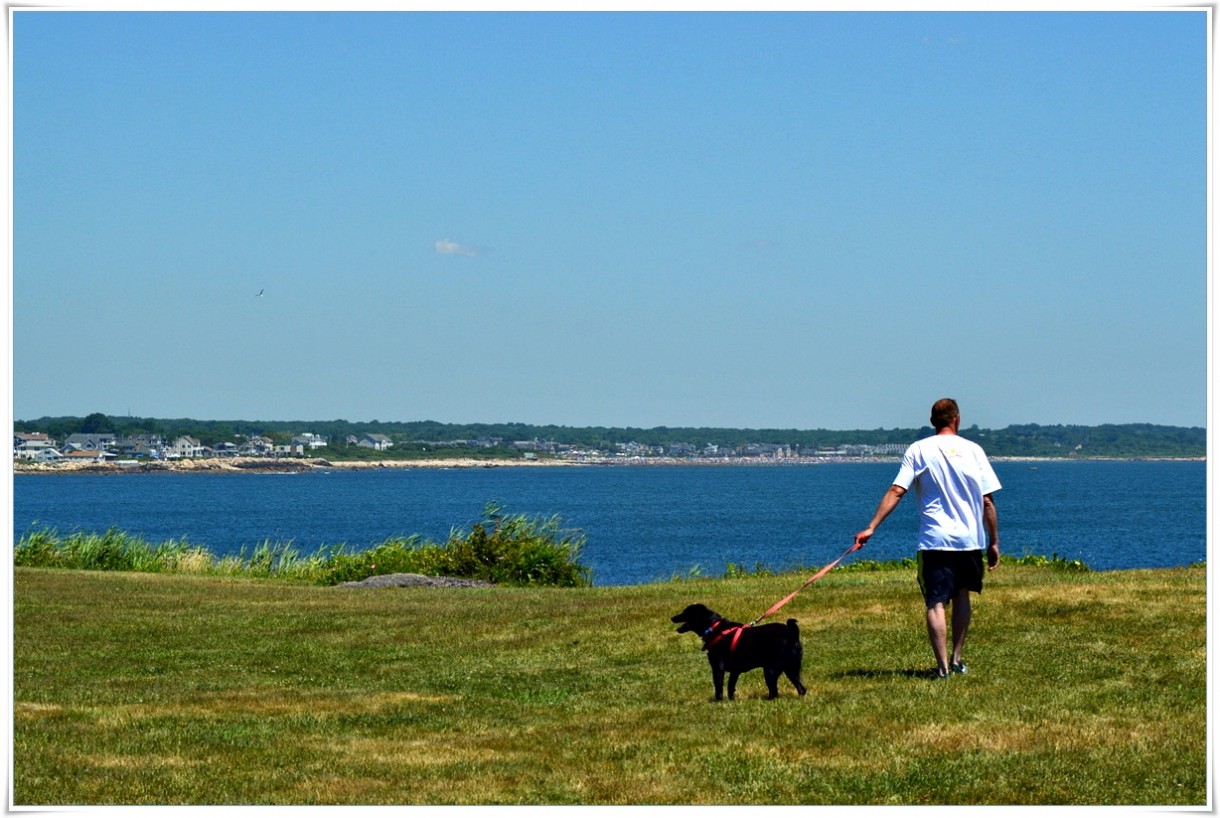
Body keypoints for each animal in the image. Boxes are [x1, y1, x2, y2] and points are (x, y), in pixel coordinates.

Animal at [673, 605, 805, 703]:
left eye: (685, 612)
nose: (672, 617)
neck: (714, 628)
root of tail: (792, 634)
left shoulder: (717, 668)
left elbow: (719, 687)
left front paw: (718, 702)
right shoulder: (735, 671)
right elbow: (730, 686)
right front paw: (731, 701)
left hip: (770, 670)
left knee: (775, 692)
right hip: (791, 669)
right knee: (801, 689)